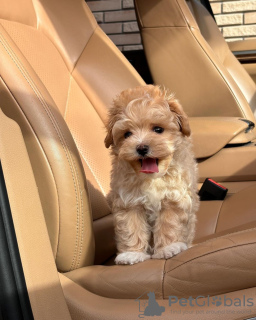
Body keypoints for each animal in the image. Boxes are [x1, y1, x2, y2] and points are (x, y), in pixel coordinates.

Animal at [104, 85, 200, 264]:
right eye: (127, 134)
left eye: (158, 129)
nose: (141, 148)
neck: (152, 179)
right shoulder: (129, 202)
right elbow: (130, 227)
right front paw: (132, 253)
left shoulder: (174, 198)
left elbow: (169, 224)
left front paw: (169, 248)